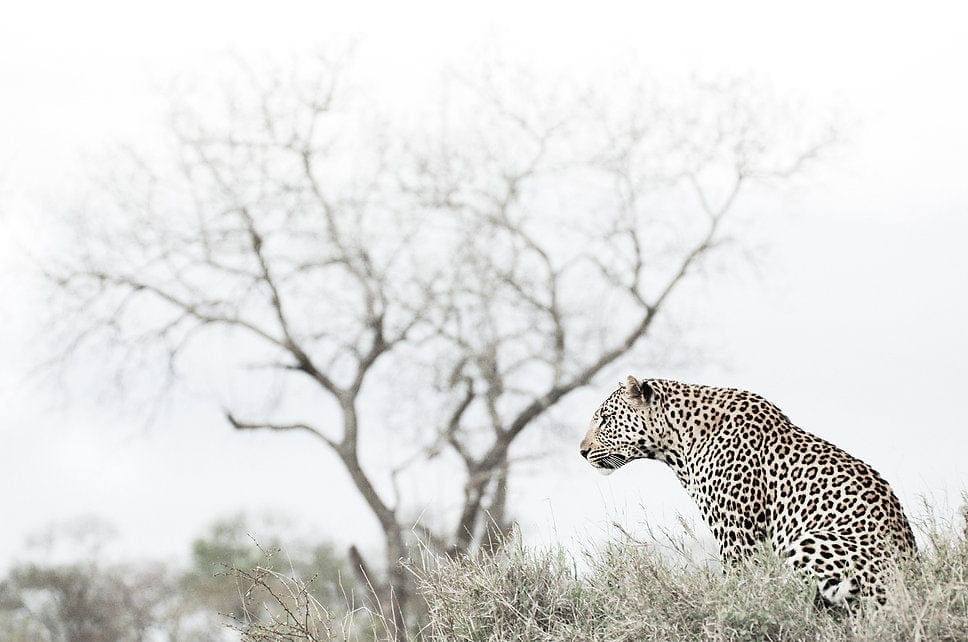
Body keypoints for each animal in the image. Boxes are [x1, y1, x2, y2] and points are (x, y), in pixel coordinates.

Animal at [579, 376, 917, 606]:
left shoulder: (737, 533)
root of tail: (911, 572)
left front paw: (730, 607)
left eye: (606, 419)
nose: (582, 452)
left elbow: (738, 582)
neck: (676, 443)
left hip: (811, 541)